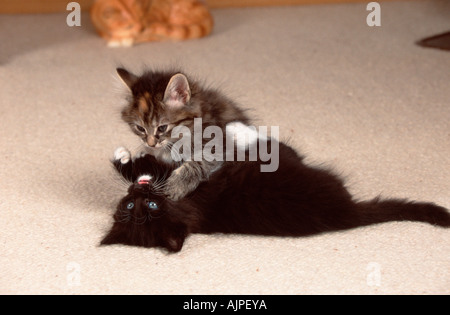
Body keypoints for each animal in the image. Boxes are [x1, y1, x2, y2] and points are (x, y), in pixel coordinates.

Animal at [101, 141, 450, 254]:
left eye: (138, 205)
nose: (140, 193)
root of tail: (347, 212)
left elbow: (150, 167)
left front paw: (128, 162)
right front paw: (126, 159)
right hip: (292, 161)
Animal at [116, 69, 250, 201]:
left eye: (162, 128)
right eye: (140, 128)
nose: (151, 144)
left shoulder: (220, 141)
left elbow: (198, 161)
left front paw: (177, 185)